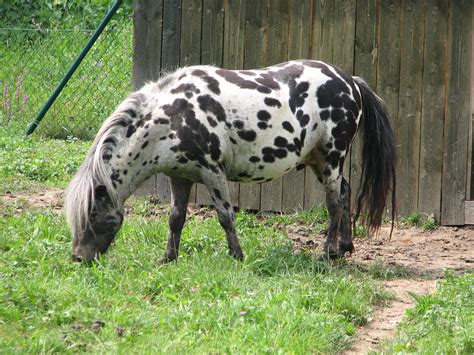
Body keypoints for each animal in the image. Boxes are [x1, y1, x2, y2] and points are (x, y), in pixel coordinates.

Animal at [65, 59, 394, 264]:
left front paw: (237, 256)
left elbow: (225, 216)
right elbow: (175, 218)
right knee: (345, 192)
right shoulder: (179, 176)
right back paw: (345, 247)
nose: (78, 257)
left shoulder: (212, 173)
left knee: (334, 203)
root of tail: (350, 81)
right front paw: (168, 258)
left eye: (93, 214)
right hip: (318, 161)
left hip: (330, 158)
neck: (173, 115)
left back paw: (328, 253)